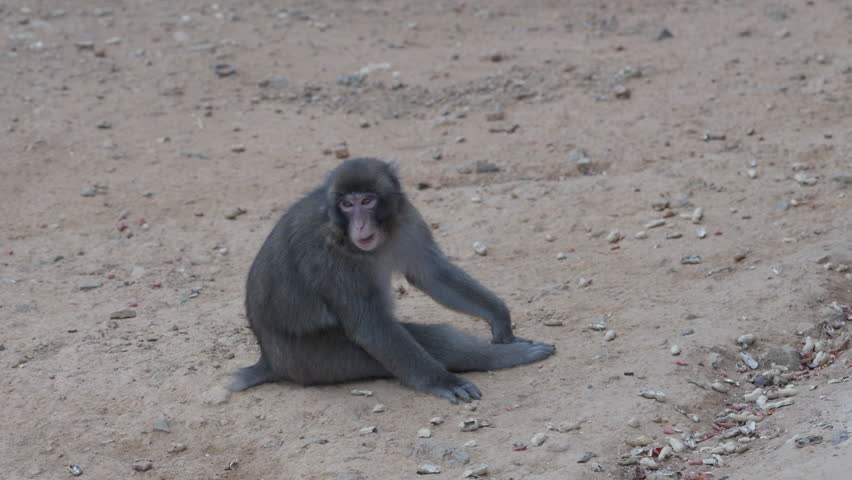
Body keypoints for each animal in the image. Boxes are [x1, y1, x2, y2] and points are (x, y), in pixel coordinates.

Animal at [229, 158, 555, 403]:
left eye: (367, 200)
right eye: (347, 204)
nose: (360, 224)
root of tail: (270, 360)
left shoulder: (406, 219)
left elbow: (431, 274)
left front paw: (500, 318)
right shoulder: (328, 257)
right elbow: (369, 323)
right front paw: (443, 381)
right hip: (317, 360)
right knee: (430, 339)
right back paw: (499, 358)